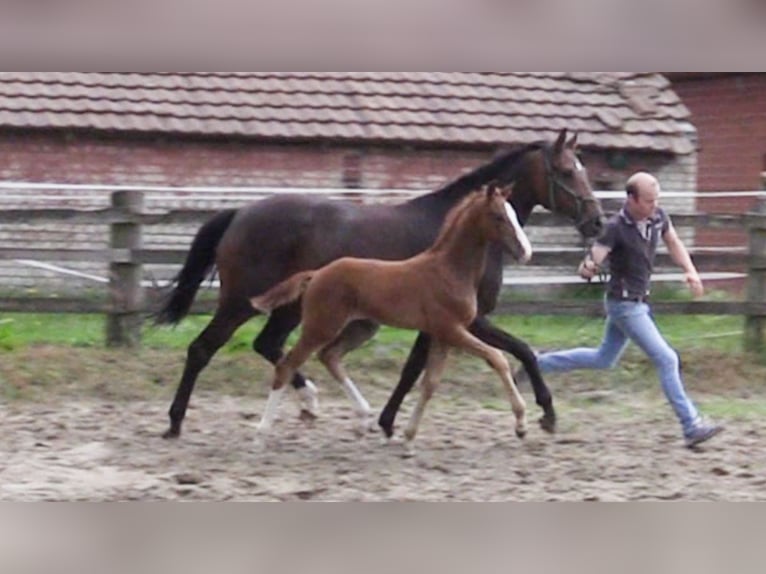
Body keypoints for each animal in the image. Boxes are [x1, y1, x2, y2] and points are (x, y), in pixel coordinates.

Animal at [250, 184, 536, 446]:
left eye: (513, 213)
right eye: (498, 216)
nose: (526, 252)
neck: (449, 270)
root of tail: (317, 273)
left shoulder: (442, 335)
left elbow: (430, 383)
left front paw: (408, 436)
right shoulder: (452, 330)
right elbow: (497, 358)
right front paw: (521, 424)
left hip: (360, 328)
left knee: (329, 356)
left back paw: (362, 418)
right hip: (321, 326)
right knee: (287, 365)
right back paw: (263, 431)